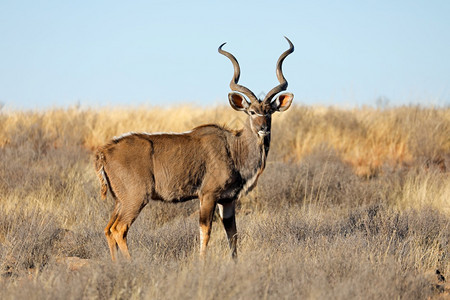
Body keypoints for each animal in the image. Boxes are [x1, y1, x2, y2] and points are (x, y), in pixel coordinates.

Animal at [93, 36, 294, 258]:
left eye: (269, 112)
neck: (233, 149)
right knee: (119, 229)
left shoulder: (228, 200)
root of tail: (104, 152)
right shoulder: (207, 195)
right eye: (251, 112)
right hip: (135, 198)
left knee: (108, 229)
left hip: (120, 200)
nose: (263, 129)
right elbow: (205, 231)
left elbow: (232, 234)